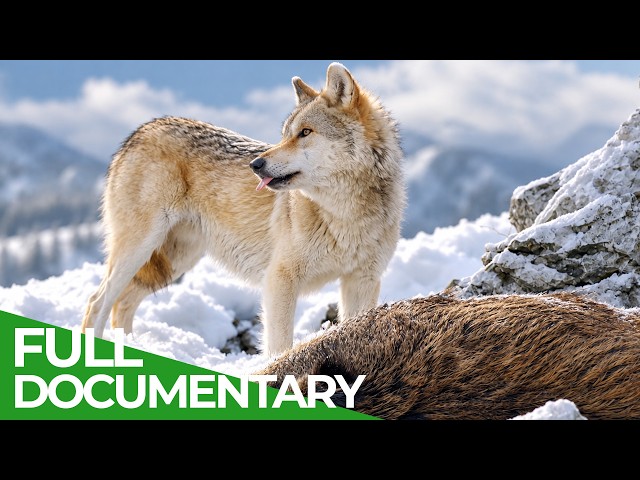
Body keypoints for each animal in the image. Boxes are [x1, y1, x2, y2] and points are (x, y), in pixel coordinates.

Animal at [80, 62, 406, 357]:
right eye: (285, 134)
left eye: (305, 132)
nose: (256, 165)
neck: (344, 214)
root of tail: (141, 129)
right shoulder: (279, 281)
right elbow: (279, 346)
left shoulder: (362, 281)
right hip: (141, 249)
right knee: (97, 302)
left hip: (174, 261)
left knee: (121, 304)